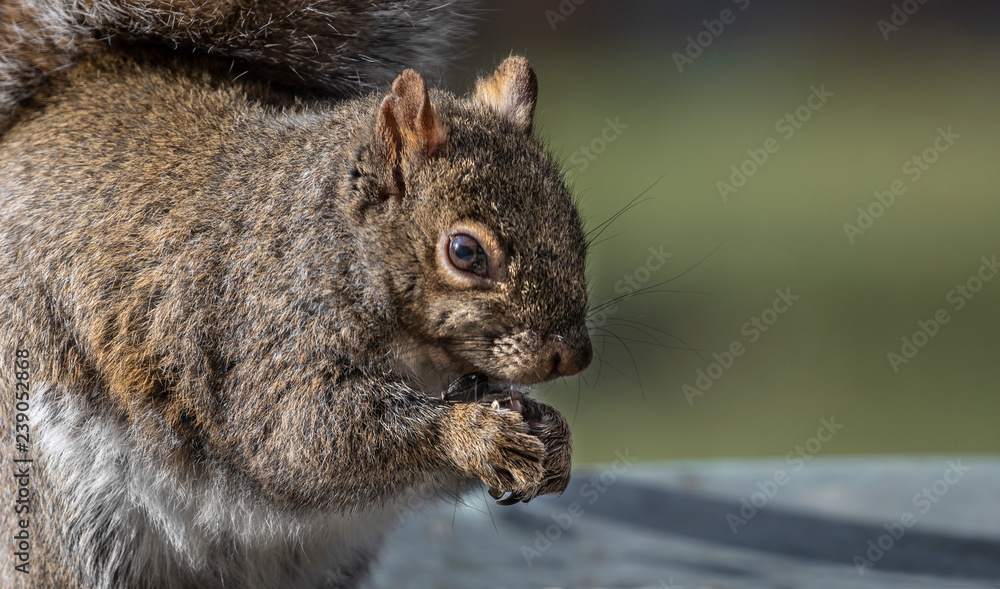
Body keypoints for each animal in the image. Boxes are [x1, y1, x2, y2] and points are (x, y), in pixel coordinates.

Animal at [0, 1, 593, 588]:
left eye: (574, 226)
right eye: (465, 252)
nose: (573, 355)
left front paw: (554, 438)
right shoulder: (261, 334)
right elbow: (300, 439)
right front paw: (474, 434)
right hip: (65, 510)